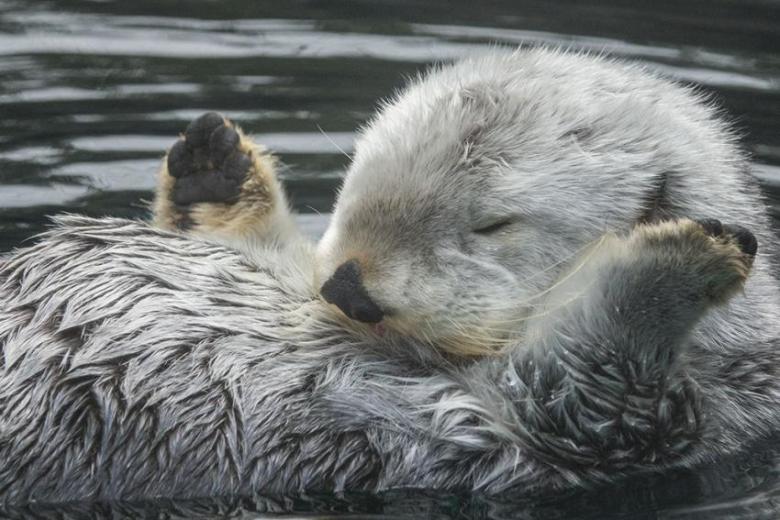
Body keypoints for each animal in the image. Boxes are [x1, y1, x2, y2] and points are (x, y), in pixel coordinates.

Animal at [0, 48, 778, 505]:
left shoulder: (608, 430)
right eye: (356, 177)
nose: (349, 289)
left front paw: (690, 253)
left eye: (493, 225)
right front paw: (215, 173)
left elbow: (594, 371)